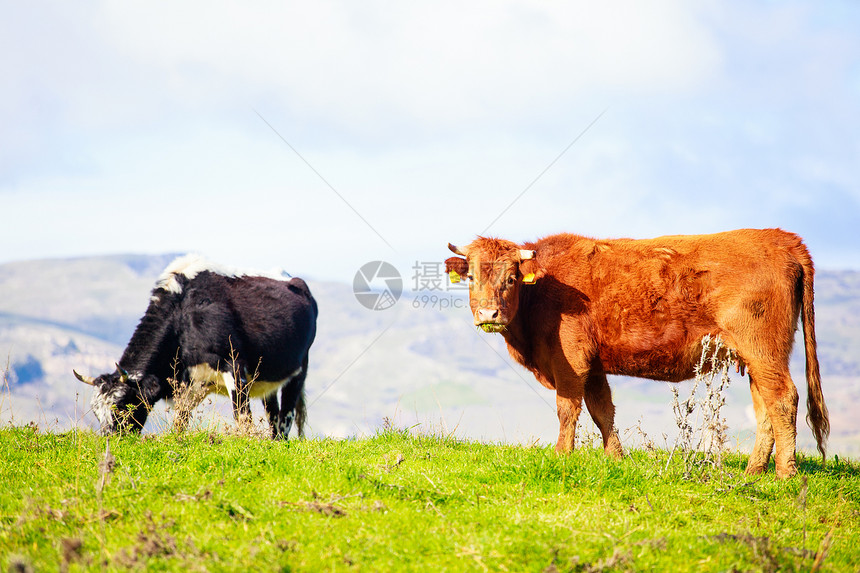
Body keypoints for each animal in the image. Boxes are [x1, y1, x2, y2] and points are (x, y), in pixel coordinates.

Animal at [73, 255, 316, 438]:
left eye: (122, 406)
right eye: (96, 413)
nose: (111, 440)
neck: (183, 314)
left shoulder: (234, 365)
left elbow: (243, 418)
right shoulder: (189, 383)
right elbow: (180, 423)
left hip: (299, 370)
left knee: (285, 417)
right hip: (267, 380)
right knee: (273, 416)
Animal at [446, 229, 828, 478]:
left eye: (511, 278)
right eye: (471, 278)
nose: (489, 314)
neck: (542, 289)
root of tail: (784, 239)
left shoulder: (570, 360)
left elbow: (567, 409)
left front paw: (561, 455)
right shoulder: (594, 366)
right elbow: (602, 411)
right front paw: (616, 457)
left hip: (763, 350)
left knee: (783, 399)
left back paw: (785, 473)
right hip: (756, 357)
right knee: (764, 407)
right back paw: (753, 470)